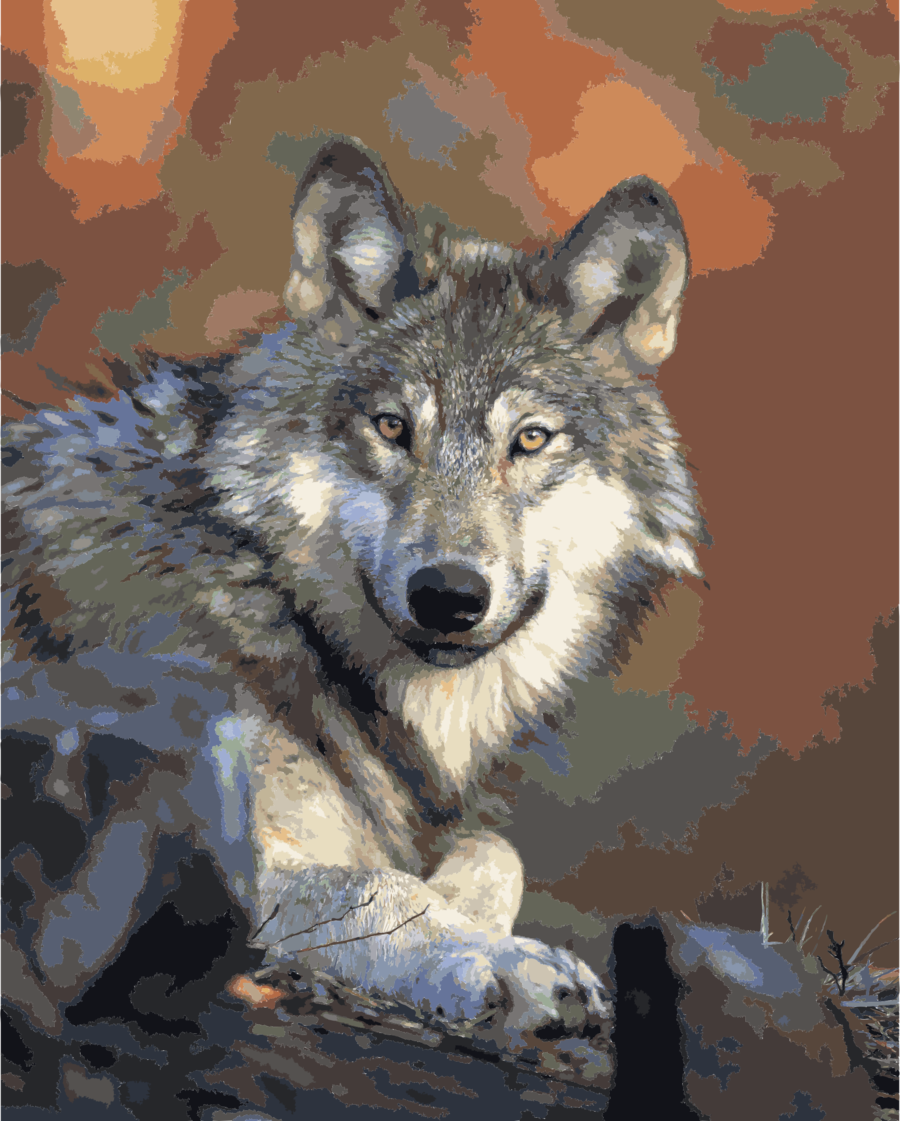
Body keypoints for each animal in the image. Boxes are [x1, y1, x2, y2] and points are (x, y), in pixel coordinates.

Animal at [0, 138, 700, 1044]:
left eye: (530, 439)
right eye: (393, 427)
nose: (449, 594)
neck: (265, 596)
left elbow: (493, 853)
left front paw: (475, 924)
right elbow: (378, 884)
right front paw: (498, 961)